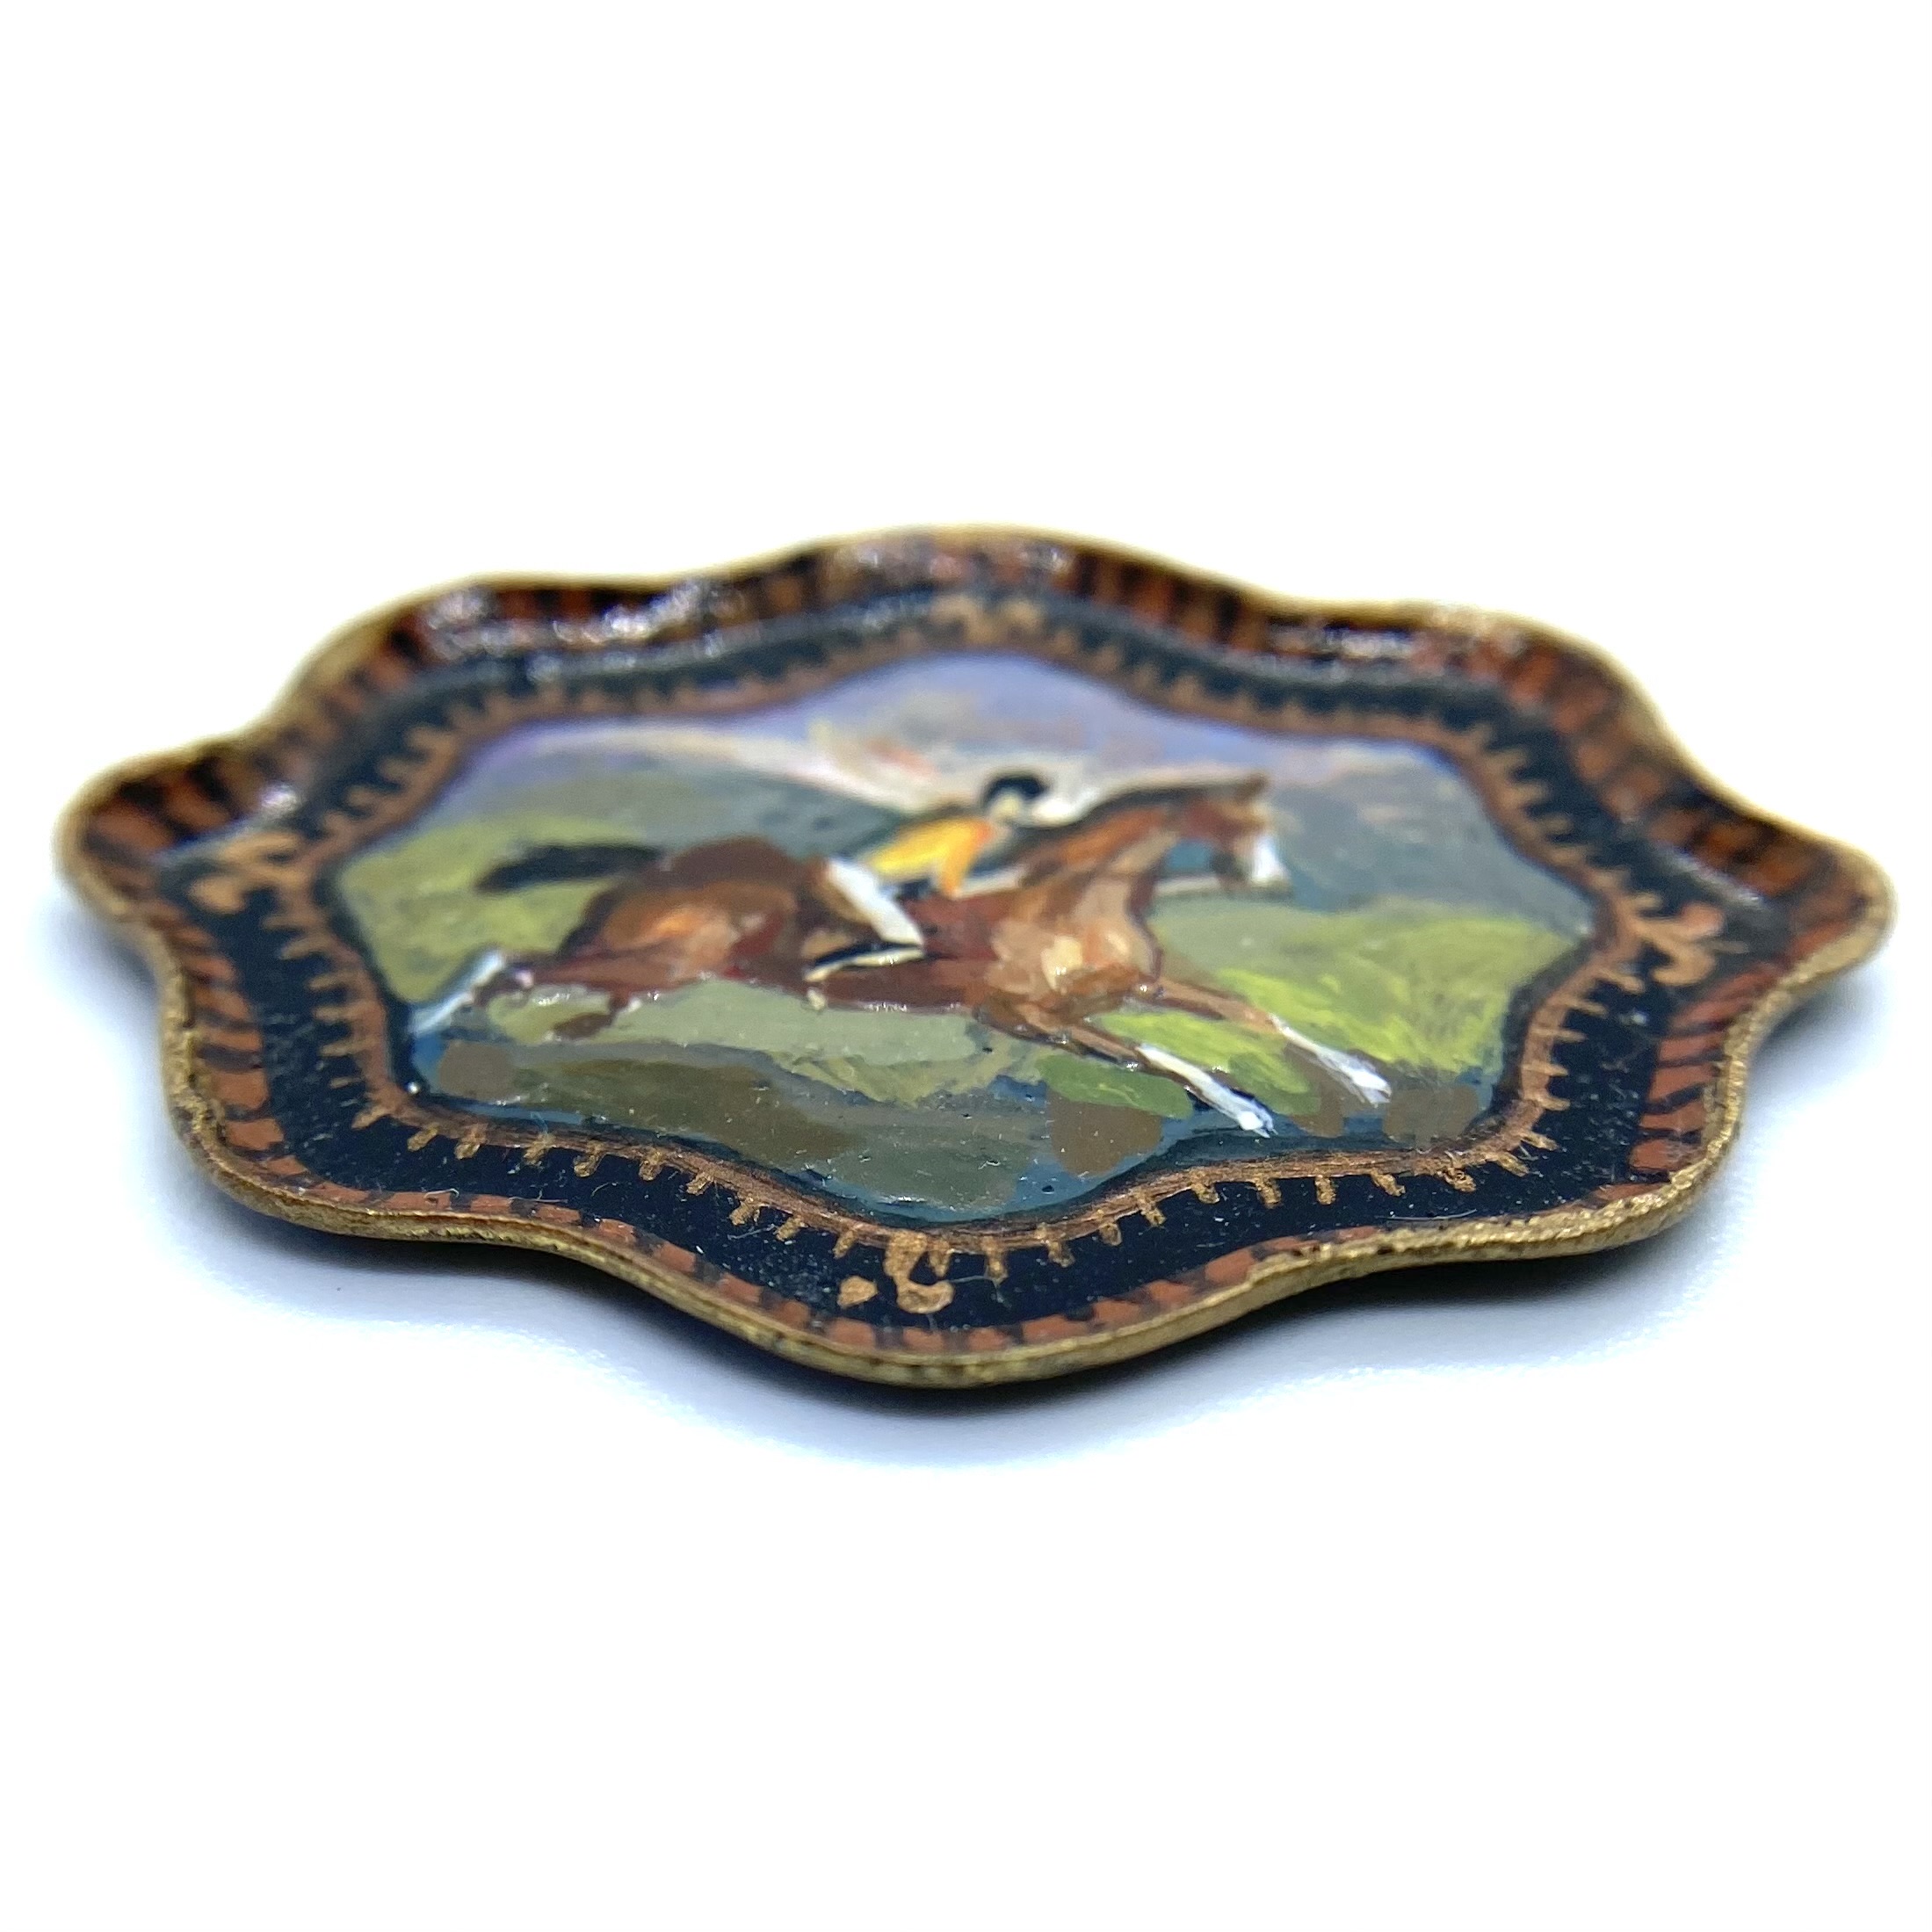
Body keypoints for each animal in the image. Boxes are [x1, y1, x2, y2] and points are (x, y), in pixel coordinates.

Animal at [433, 777, 1390, 1132]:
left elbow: (1253, 1012)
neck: (1074, 898)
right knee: (509, 962)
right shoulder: (1027, 1014)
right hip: (664, 960)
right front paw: (1244, 1111)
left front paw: (1362, 1077)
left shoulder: (1144, 984)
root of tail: (667, 866)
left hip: (659, 969)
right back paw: (441, 1029)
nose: (1268, 879)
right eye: (1240, 821)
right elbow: (1160, 1054)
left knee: (563, 983)